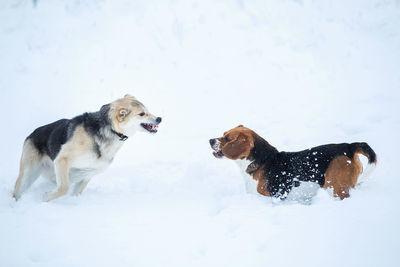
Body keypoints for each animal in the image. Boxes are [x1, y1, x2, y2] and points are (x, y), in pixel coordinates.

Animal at [13, 94, 162, 201]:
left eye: (148, 111)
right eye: (142, 114)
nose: (159, 119)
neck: (110, 130)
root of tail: (32, 134)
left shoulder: (90, 172)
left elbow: (75, 191)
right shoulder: (62, 160)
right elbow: (64, 188)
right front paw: (46, 198)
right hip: (28, 174)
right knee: (17, 190)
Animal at [211, 125, 376, 201]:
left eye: (227, 139)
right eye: (223, 134)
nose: (210, 140)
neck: (262, 161)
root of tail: (348, 146)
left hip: (335, 187)